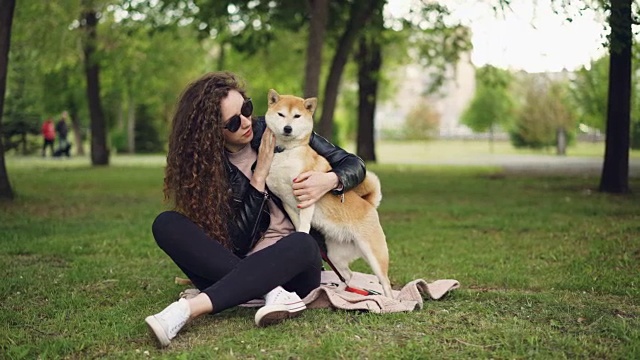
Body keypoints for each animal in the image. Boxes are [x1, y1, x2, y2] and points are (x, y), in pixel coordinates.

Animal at [262, 88, 392, 296]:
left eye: (297, 116)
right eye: (281, 114)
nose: (288, 128)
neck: (286, 152)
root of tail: (368, 204)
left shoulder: (306, 195)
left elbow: (304, 223)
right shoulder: (286, 202)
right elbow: (297, 221)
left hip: (373, 253)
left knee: (385, 282)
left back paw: (390, 301)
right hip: (335, 254)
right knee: (347, 275)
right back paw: (336, 292)